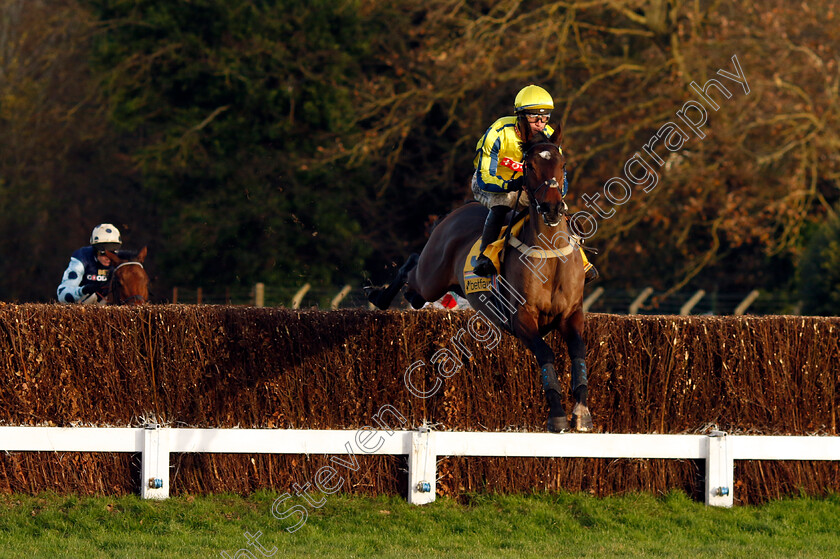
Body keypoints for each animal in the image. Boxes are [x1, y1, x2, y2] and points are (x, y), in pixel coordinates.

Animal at [364, 128, 592, 434]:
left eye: (562, 164)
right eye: (530, 166)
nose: (553, 208)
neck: (549, 253)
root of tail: (455, 213)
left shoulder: (572, 314)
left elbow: (578, 352)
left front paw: (581, 410)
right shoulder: (521, 318)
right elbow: (545, 354)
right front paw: (556, 414)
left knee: (415, 291)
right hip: (431, 276)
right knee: (412, 266)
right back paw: (379, 296)